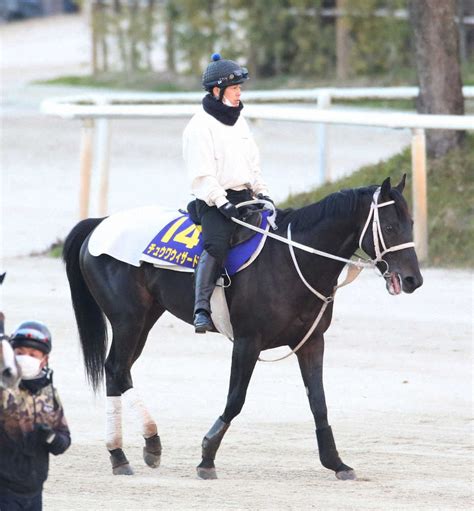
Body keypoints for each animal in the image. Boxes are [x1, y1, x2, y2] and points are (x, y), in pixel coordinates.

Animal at [62, 176, 422, 480]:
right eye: (390, 226)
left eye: (411, 224)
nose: (413, 279)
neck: (290, 258)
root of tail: (99, 224)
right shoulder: (248, 341)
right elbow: (236, 399)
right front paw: (207, 456)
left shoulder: (311, 342)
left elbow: (318, 402)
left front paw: (335, 462)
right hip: (129, 320)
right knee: (116, 368)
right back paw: (141, 446)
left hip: (145, 319)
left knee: (118, 372)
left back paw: (127, 451)